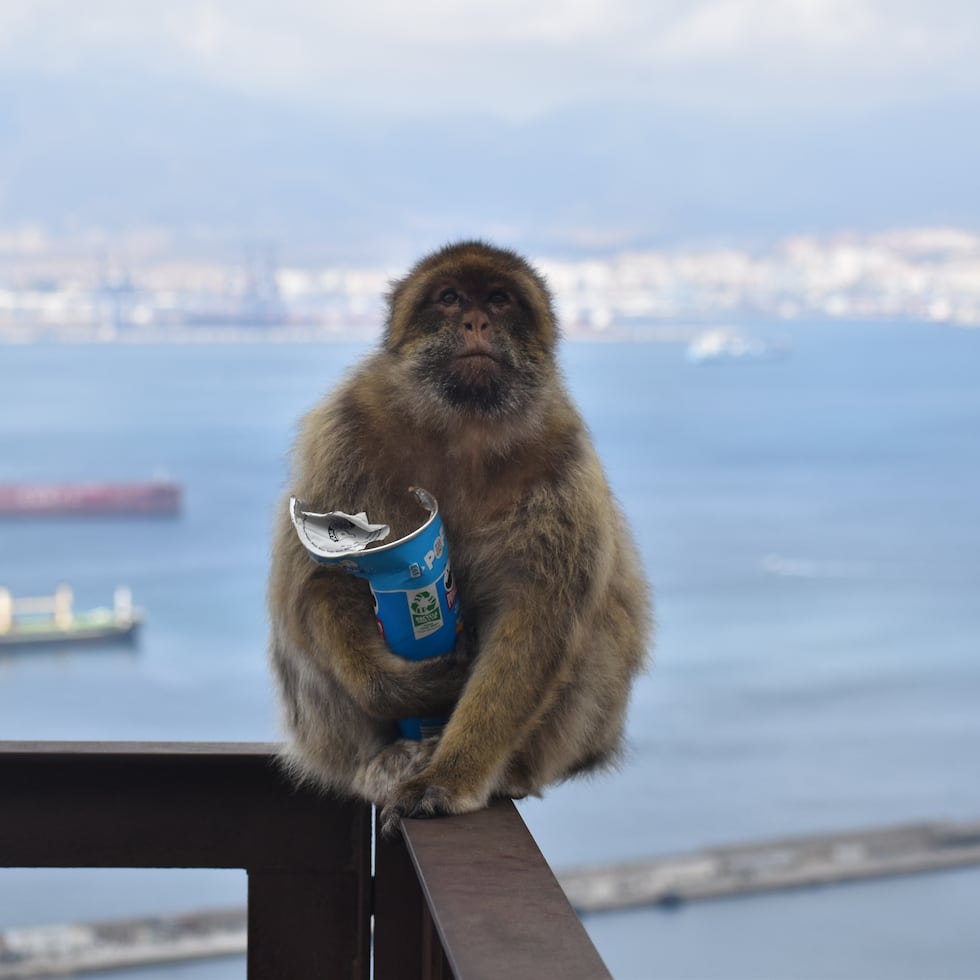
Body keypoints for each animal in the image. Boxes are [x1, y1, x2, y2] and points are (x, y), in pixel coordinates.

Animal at [267, 240, 652, 837]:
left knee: (602, 622)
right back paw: (385, 758)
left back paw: (506, 770)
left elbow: (537, 618)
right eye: (449, 298)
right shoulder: (346, 427)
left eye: (498, 299)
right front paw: (410, 688)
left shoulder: (562, 459)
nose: (476, 321)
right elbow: (320, 579)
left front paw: (450, 778)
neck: (463, 428)